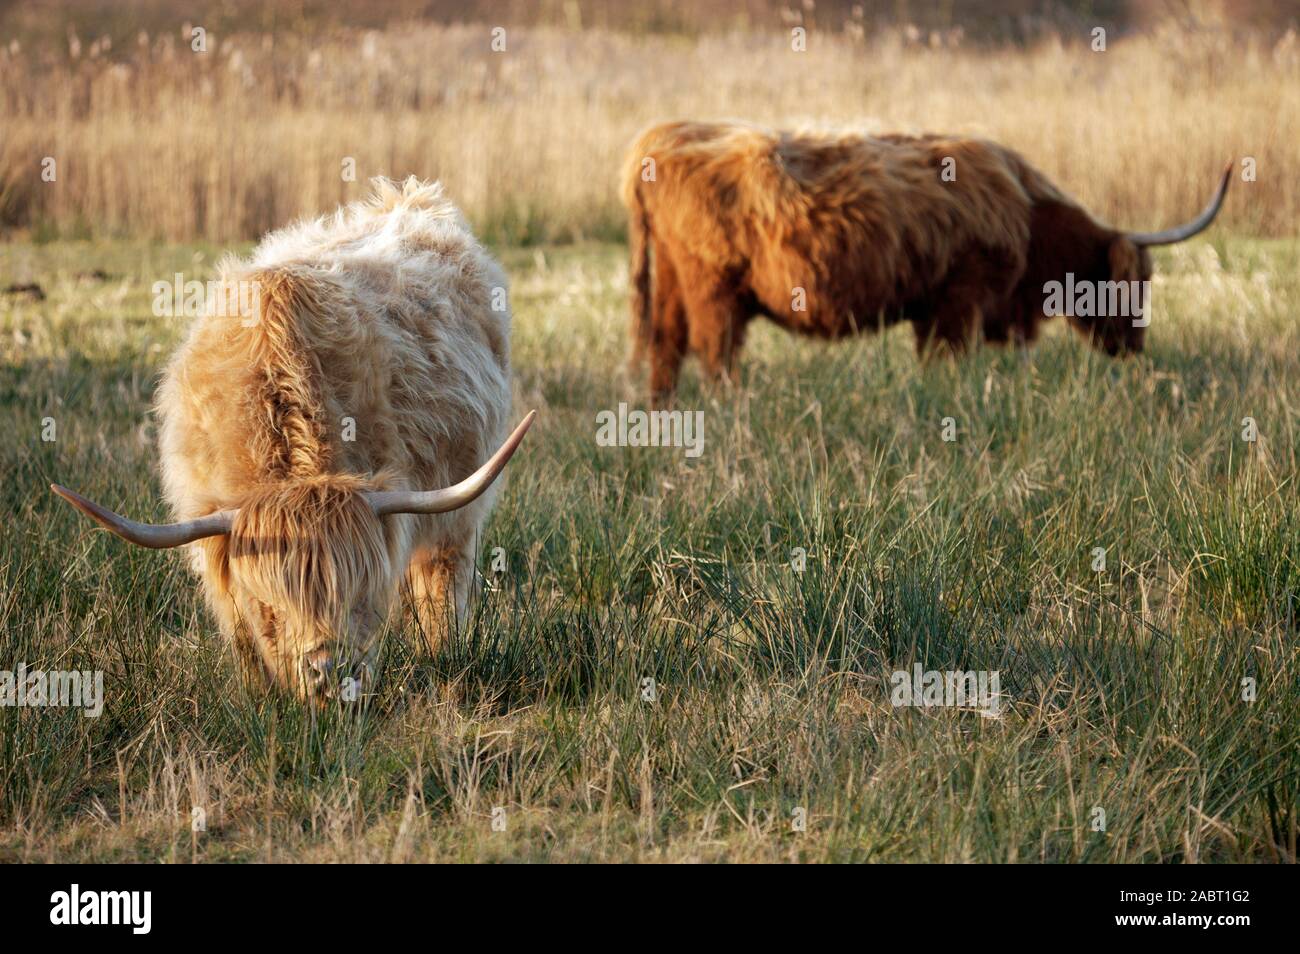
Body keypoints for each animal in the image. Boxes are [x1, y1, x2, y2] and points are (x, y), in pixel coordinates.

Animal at [52, 178, 533, 701]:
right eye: (272, 606)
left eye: (361, 598)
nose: (328, 672)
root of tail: (409, 197)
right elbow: (240, 634)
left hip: (459, 513)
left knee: (442, 581)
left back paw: (443, 651)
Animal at [624, 122, 1232, 400]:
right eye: (1139, 283)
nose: (1135, 347)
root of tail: (666, 135)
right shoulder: (958, 305)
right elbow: (947, 364)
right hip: (713, 289)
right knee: (713, 354)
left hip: (674, 283)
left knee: (665, 350)